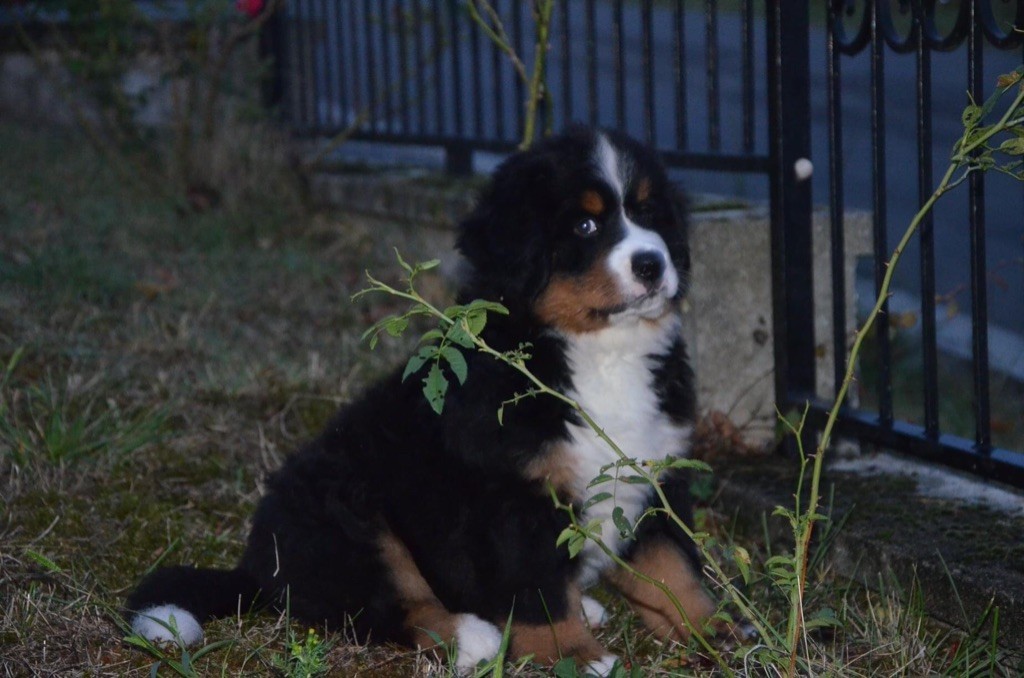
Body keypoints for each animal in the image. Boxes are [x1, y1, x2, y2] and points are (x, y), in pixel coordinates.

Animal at [125, 127, 720, 675]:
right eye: (586, 226)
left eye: (649, 213)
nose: (652, 263)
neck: (601, 352)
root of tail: (259, 566)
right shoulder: (514, 496)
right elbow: (538, 591)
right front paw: (575, 655)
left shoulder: (656, 474)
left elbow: (675, 568)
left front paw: (715, 633)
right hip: (352, 518)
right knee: (382, 606)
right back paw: (471, 636)